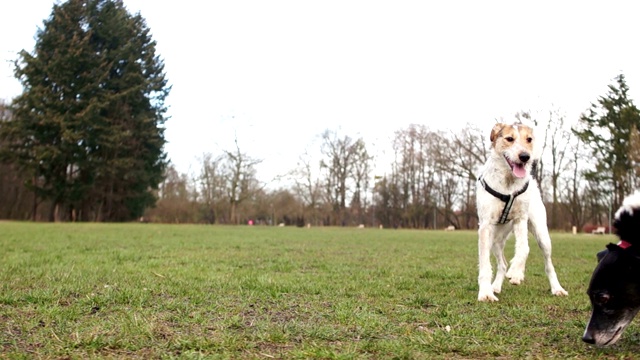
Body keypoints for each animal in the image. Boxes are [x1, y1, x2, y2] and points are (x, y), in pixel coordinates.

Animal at [476, 121, 568, 300]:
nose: (525, 156)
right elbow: (484, 263)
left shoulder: (521, 219)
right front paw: (485, 293)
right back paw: (495, 287)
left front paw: (516, 273)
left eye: (529, 139)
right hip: (495, 240)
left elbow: (524, 248)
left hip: (542, 235)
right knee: (502, 264)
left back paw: (557, 288)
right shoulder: (485, 227)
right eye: (509, 139)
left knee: (548, 264)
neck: (508, 183)